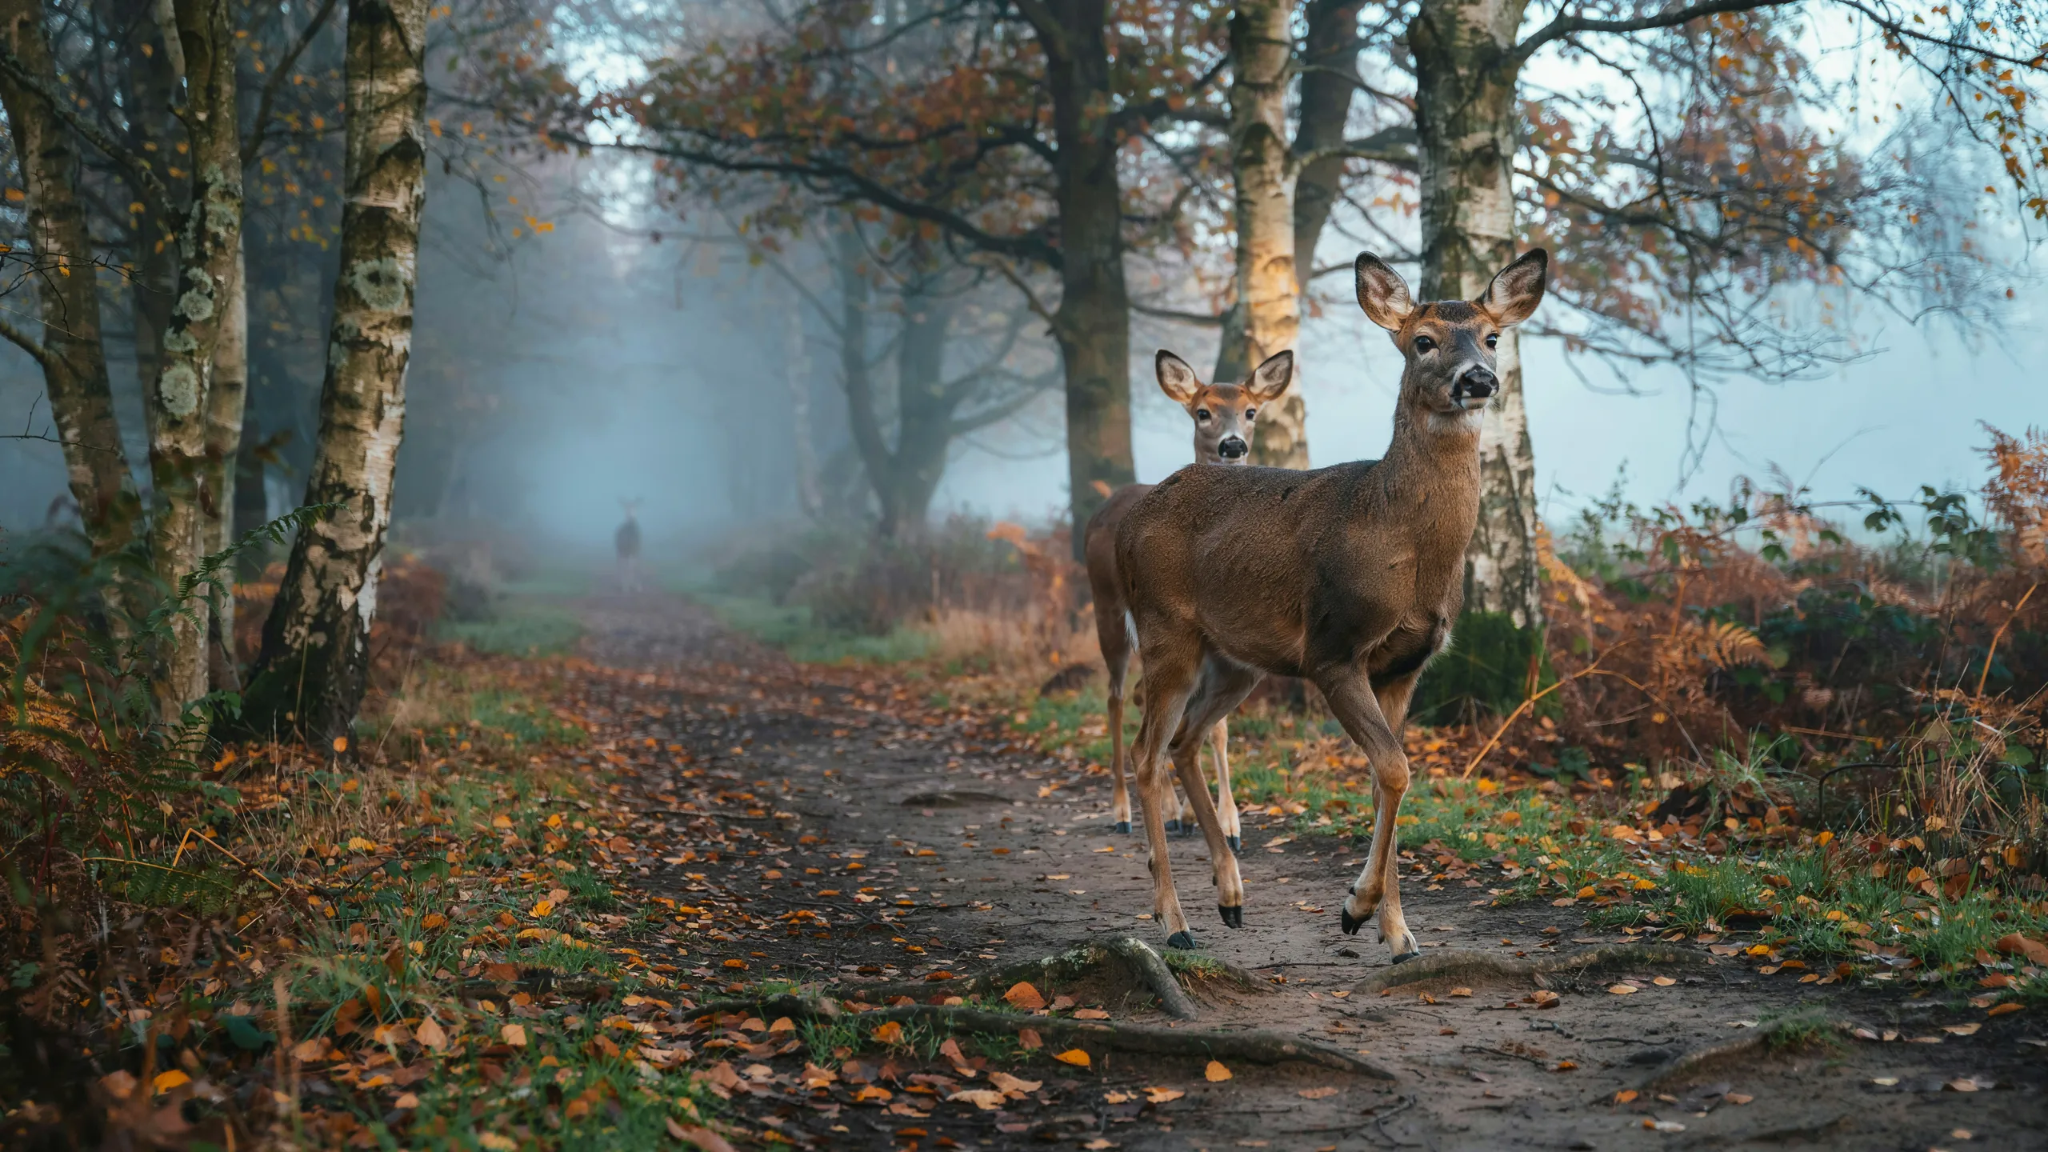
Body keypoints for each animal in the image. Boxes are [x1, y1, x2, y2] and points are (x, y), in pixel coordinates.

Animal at [1084, 349, 1293, 851]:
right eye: (1203, 412)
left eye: (1250, 411)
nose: (1233, 446)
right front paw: (1199, 816)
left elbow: (1218, 729)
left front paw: (1231, 823)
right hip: (1109, 609)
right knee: (1116, 697)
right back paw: (1123, 811)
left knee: (1140, 696)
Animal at [1114, 248, 1548, 959]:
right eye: (1423, 341)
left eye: (1491, 337)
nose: (1479, 378)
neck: (1404, 544)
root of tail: (1130, 519)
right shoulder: (1333, 647)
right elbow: (1396, 769)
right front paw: (1355, 908)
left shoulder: (1405, 665)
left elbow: (1384, 778)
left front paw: (1398, 935)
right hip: (1164, 630)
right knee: (1146, 755)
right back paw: (1175, 922)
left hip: (1235, 659)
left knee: (1184, 740)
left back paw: (1230, 897)